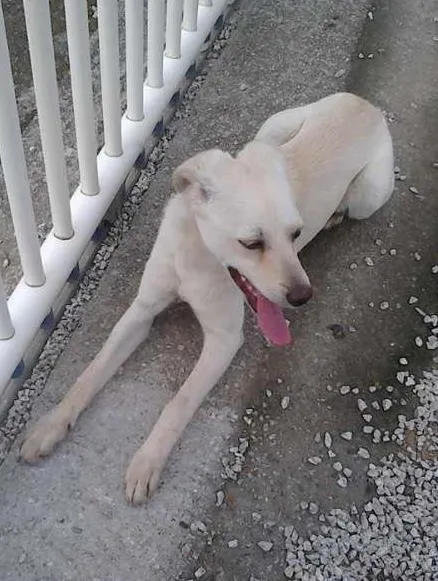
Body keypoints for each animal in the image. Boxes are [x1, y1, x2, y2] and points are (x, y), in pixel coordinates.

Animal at [20, 93, 394, 504]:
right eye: (251, 243)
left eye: (295, 234)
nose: (303, 296)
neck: (196, 258)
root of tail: (363, 104)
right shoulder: (142, 310)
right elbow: (90, 373)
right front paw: (50, 425)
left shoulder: (223, 341)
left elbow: (178, 402)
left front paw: (147, 461)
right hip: (269, 132)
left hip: (367, 195)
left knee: (353, 202)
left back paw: (335, 215)